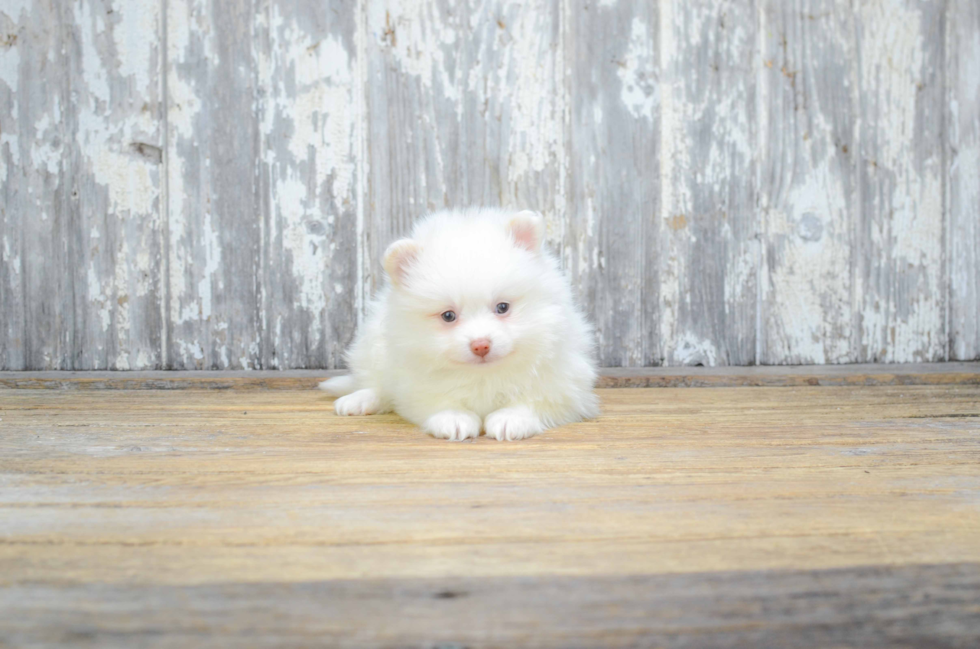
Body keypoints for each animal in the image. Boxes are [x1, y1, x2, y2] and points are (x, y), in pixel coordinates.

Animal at [322, 208, 596, 440]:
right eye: (448, 316)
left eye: (503, 307)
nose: (481, 345)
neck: (483, 375)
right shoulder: (414, 383)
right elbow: (438, 400)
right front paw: (454, 419)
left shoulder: (565, 383)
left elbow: (534, 401)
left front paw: (511, 419)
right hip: (373, 349)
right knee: (376, 384)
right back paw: (358, 400)